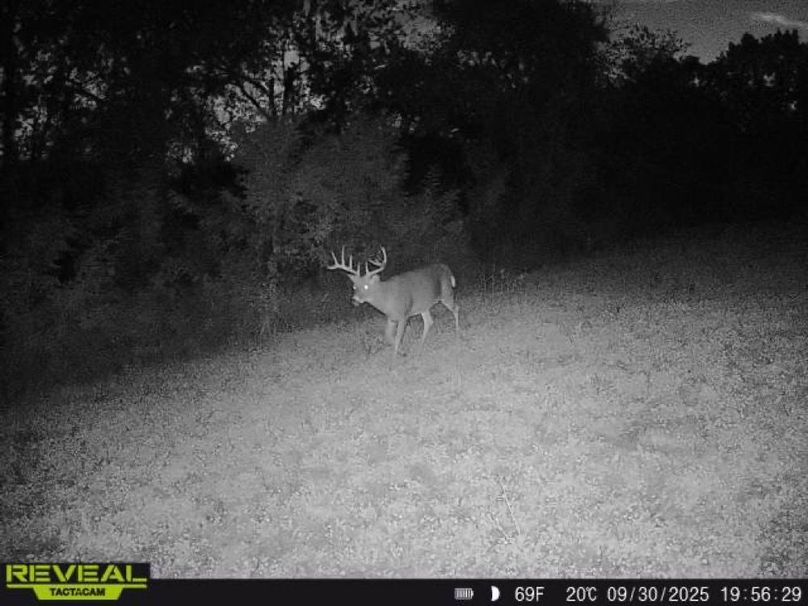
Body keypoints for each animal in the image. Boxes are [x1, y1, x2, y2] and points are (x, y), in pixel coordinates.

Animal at [327, 246, 460, 356]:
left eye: (366, 286)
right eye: (354, 287)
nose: (354, 300)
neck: (386, 299)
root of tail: (446, 267)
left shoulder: (404, 315)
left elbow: (397, 338)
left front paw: (393, 362)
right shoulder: (391, 317)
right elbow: (388, 337)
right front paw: (403, 352)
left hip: (446, 293)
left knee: (456, 308)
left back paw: (457, 333)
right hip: (423, 305)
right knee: (429, 321)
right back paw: (419, 347)